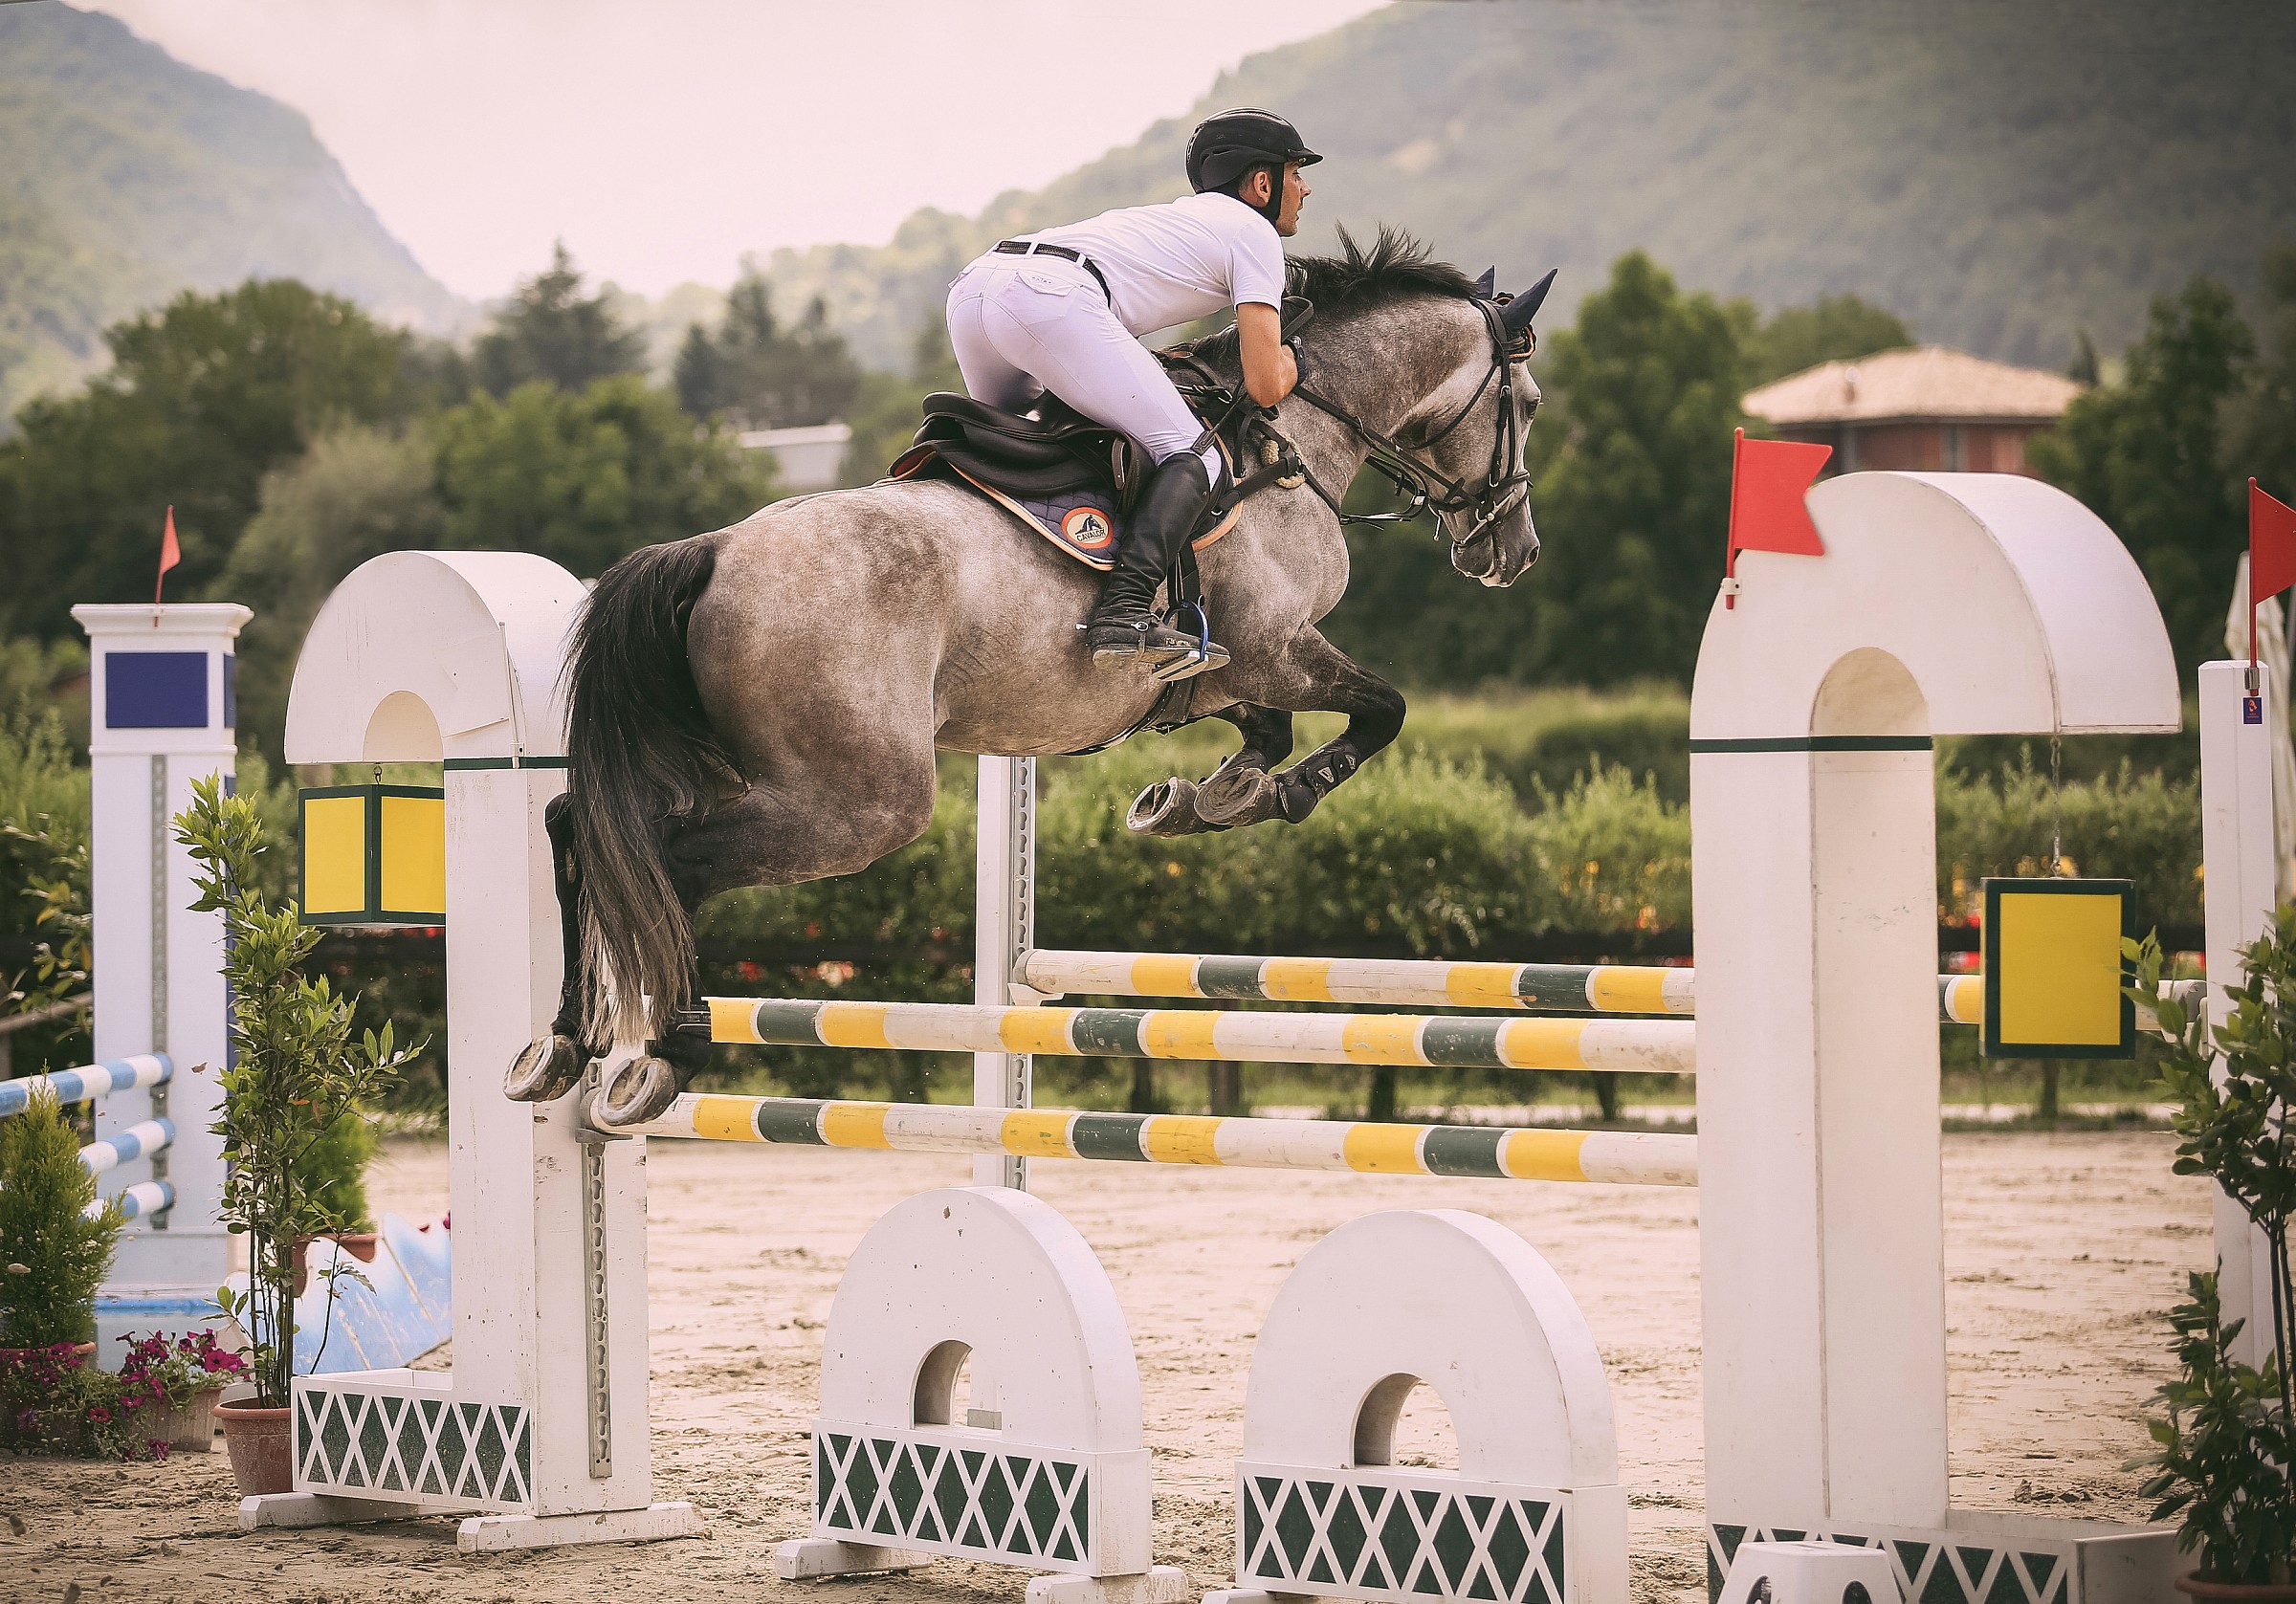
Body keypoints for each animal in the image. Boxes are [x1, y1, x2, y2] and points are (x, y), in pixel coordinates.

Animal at [515, 227, 1549, 1126]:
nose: (1514, 552)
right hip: (861, 800)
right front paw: (1284, 792)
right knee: (673, 859)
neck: (1291, 438)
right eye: (1531, 403)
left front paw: (1206, 798)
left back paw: (566, 1040)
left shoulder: (1219, 668)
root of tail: (714, 551)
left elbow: (1264, 727)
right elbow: (1382, 710)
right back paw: (663, 1056)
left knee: (578, 824)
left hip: (755, 767)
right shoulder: (1279, 645)